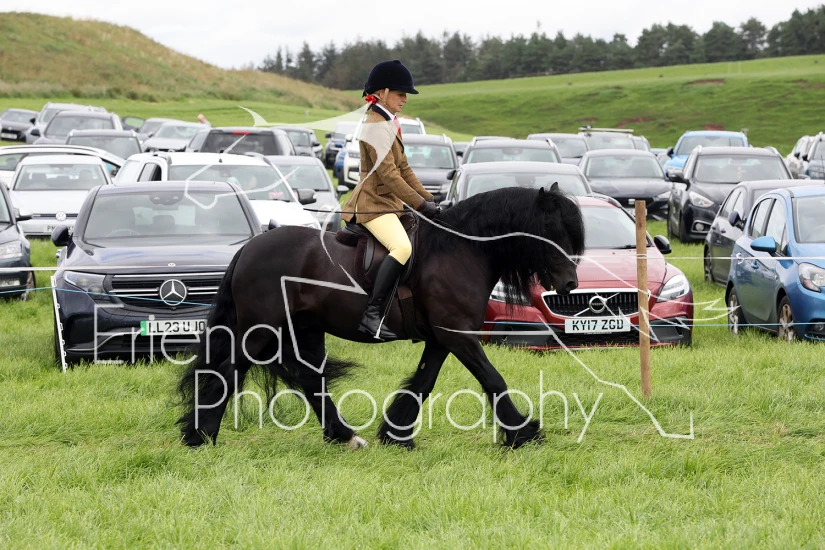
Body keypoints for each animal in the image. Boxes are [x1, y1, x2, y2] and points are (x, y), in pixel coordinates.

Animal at [177, 185, 586, 449]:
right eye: (550, 231)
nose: (570, 284)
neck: (458, 249)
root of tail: (249, 248)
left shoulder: (442, 338)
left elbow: (423, 383)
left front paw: (396, 434)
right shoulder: (457, 335)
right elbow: (492, 379)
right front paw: (523, 433)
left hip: (303, 329)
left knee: (309, 379)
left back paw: (342, 435)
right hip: (261, 330)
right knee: (229, 371)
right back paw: (199, 435)